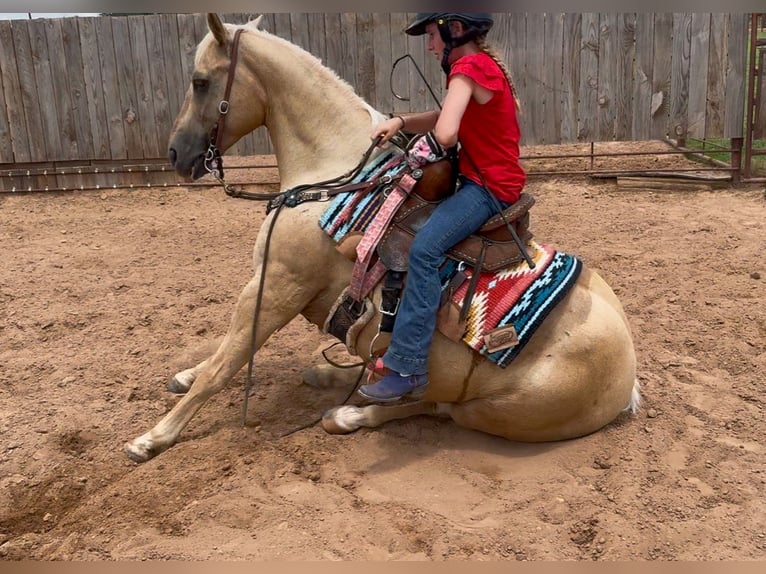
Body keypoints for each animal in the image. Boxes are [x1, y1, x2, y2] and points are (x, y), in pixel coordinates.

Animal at [124, 14, 640, 463]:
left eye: (200, 81)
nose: (177, 153)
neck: (329, 177)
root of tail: (628, 380)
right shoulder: (264, 282)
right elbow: (226, 347)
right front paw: (183, 377)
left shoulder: (279, 285)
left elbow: (225, 364)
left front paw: (153, 437)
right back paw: (331, 377)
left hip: (489, 410)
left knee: (432, 406)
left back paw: (350, 412)